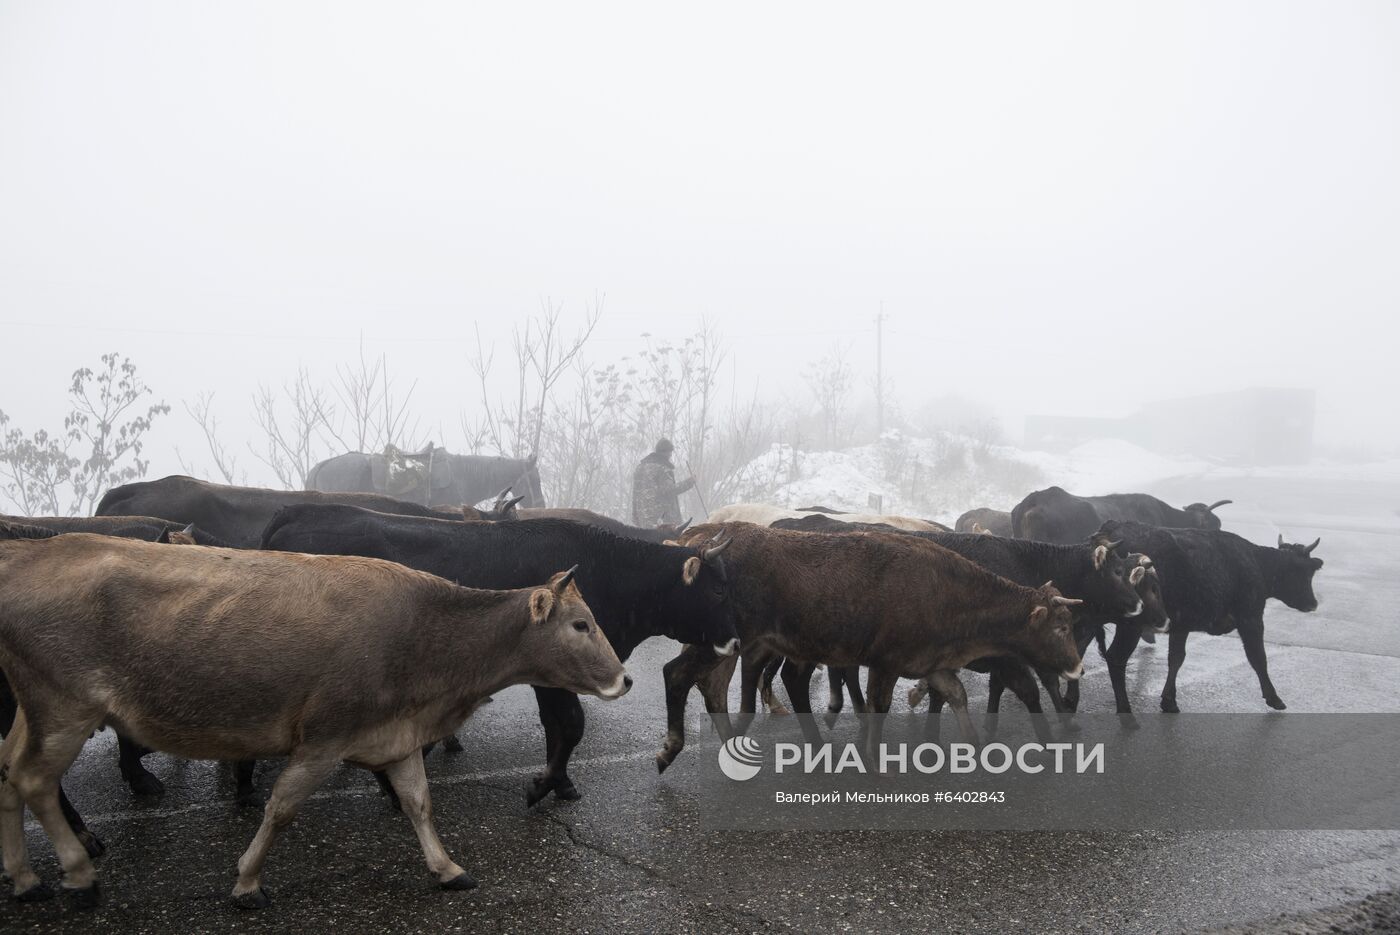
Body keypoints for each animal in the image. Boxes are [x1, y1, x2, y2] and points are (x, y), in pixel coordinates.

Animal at [0, 537, 627, 907]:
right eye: (580, 624)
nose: (625, 678)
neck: (426, 637)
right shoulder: (324, 737)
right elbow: (281, 808)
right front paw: (247, 880)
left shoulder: (396, 734)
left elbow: (420, 804)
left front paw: (447, 867)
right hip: (64, 706)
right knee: (34, 780)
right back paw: (77, 873)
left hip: (36, 709)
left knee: (9, 774)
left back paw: (24, 877)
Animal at [263, 503, 744, 806]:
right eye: (719, 590)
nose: (737, 641)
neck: (609, 570)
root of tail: (296, 512)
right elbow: (571, 725)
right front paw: (543, 786)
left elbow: (557, 727)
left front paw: (560, 783)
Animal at [652, 523, 1080, 772]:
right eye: (1061, 627)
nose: (1077, 667)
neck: (948, 592)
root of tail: (698, 544)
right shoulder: (886, 662)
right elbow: (879, 705)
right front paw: (874, 759)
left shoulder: (930, 662)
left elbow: (955, 694)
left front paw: (974, 746)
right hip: (722, 644)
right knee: (677, 674)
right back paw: (671, 749)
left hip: (733, 646)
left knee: (715, 688)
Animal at [1092, 523, 1321, 711]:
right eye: (1304, 571)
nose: (1313, 603)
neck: (1256, 563)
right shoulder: (1251, 617)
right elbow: (1258, 658)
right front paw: (1274, 698)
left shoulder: (1181, 624)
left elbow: (1176, 659)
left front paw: (1169, 700)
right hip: (1131, 626)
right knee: (1116, 657)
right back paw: (1124, 707)